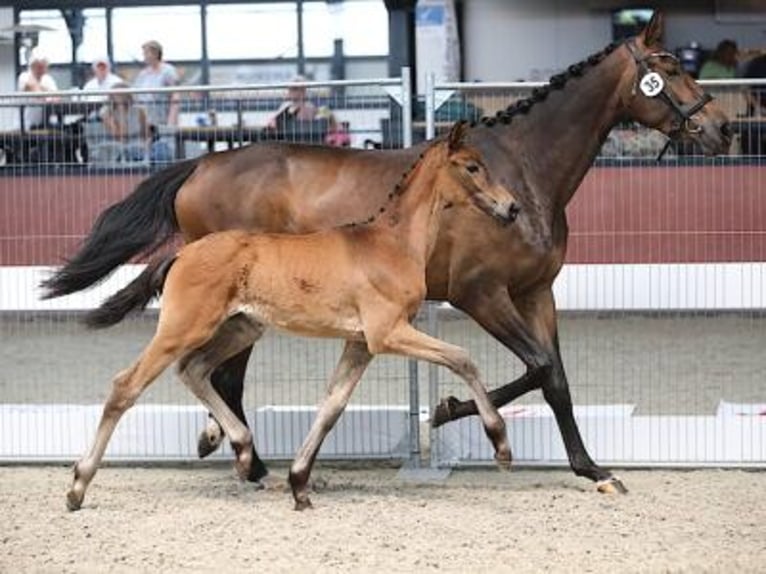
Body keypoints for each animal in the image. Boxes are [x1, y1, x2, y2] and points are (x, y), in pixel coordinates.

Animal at [69, 122, 520, 512]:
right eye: (472, 166)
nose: (511, 207)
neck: (390, 242)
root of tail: (181, 253)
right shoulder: (387, 333)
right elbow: (463, 358)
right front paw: (501, 446)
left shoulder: (360, 342)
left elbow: (332, 405)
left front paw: (299, 484)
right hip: (183, 327)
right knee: (127, 385)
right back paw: (78, 485)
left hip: (242, 327)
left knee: (194, 370)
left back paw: (243, 450)